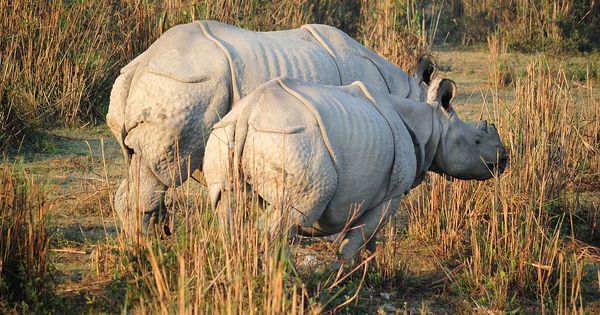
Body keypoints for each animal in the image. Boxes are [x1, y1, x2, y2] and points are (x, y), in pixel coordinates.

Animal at [106, 21, 436, 235]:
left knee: (140, 163)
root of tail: (141, 62)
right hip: (183, 84)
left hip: (164, 83)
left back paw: (142, 249)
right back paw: (148, 250)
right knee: (164, 170)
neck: (406, 92)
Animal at [202, 78, 506, 266]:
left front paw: (369, 269)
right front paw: (342, 275)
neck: (431, 124)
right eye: (477, 141)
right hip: (292, 142)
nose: (504, 159)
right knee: (293, 214)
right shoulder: (391, 194)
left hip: (225, 133)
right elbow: (360, 236)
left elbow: (366, 238)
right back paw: (286, 277)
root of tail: (247, 114)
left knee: (228, 206)